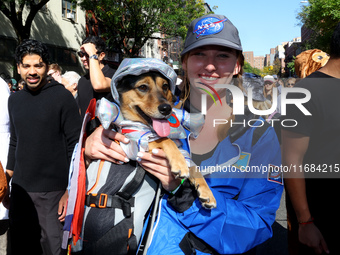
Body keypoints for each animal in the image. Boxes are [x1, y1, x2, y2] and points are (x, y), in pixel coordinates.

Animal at [115, 70, 216, 208]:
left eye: (165, 86)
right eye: (142, 87)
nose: (166, 108)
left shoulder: (182, 150)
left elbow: (194, 167)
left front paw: (207, 193)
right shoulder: (134, 142)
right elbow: (165, 140)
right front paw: (179, 164)